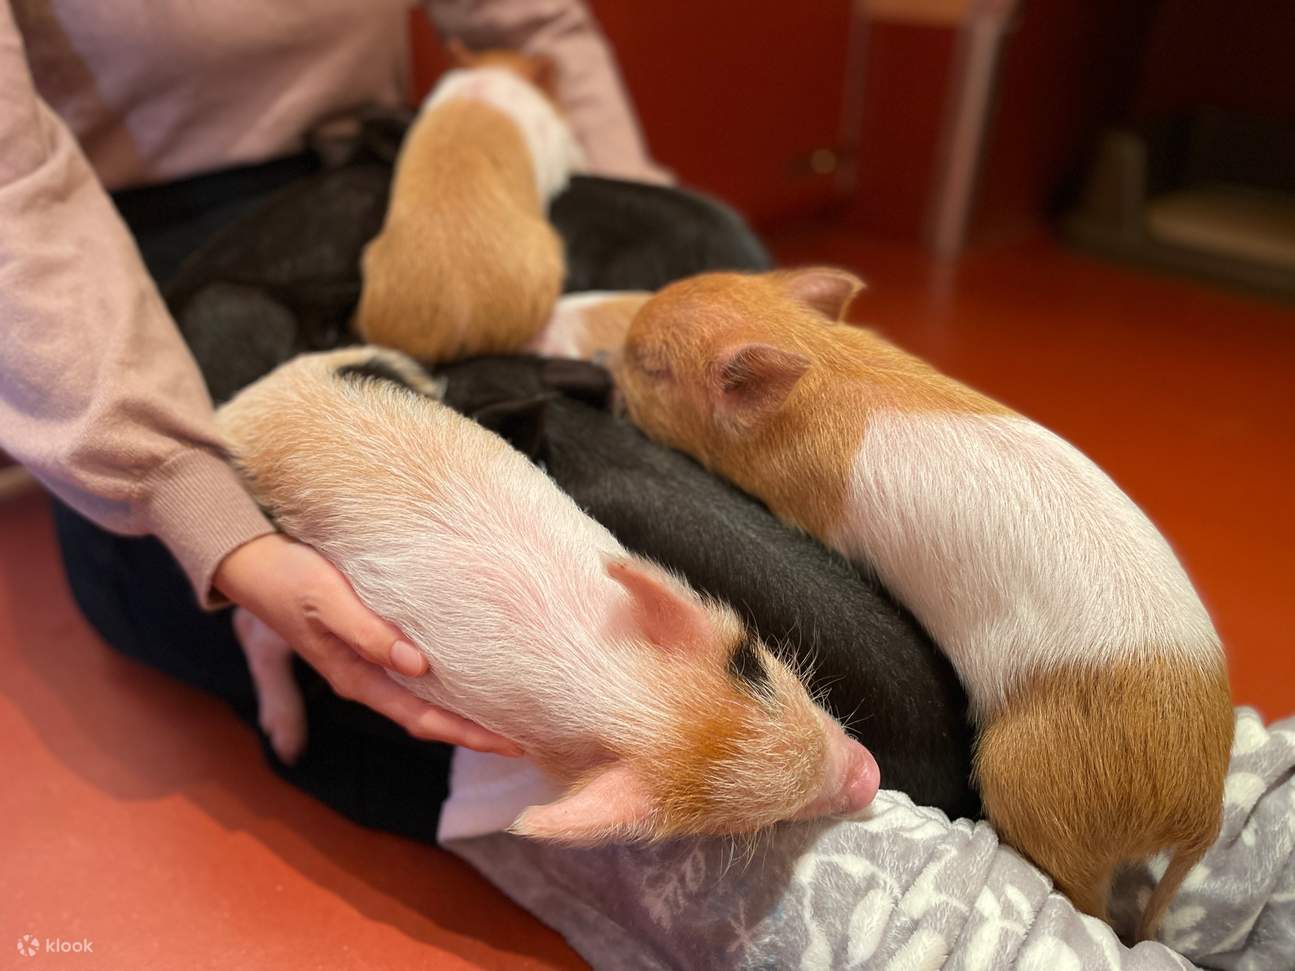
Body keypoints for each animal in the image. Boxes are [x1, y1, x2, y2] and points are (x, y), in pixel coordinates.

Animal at [215, 346, 879, 842]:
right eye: (756, 822)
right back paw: (290, 747)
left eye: (754, 661)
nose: (871, 778)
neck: (610, 683)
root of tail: (241, 408)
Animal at [611, 269, 1233, 940]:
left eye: (652, 367)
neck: (818, 360)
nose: (610, 356)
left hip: (1029, 786)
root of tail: (1196, 812)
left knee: (1084, 898)